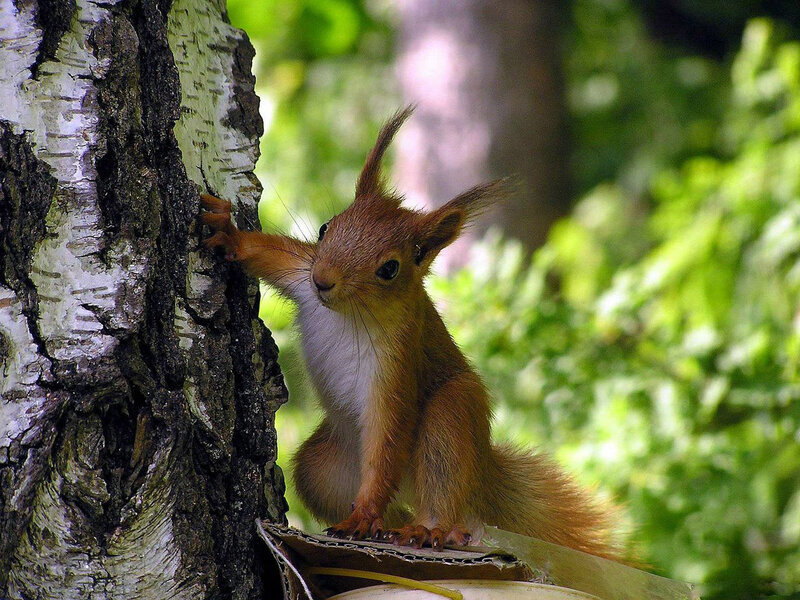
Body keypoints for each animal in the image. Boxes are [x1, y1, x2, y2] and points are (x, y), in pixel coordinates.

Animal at [201, 107, 622, 559]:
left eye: (390, 268)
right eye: (326, 228)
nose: (323, 281)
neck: (347, 314)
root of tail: (482, 474)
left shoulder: (398, 362)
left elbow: (388, 437)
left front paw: (364, 514)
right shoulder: (300, 272)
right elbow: (270, 254)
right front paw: (228, 233)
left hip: (451, 418)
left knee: (441, 488)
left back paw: (429, 530)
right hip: (323, 468)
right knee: (381, 503)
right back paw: (388, 528)